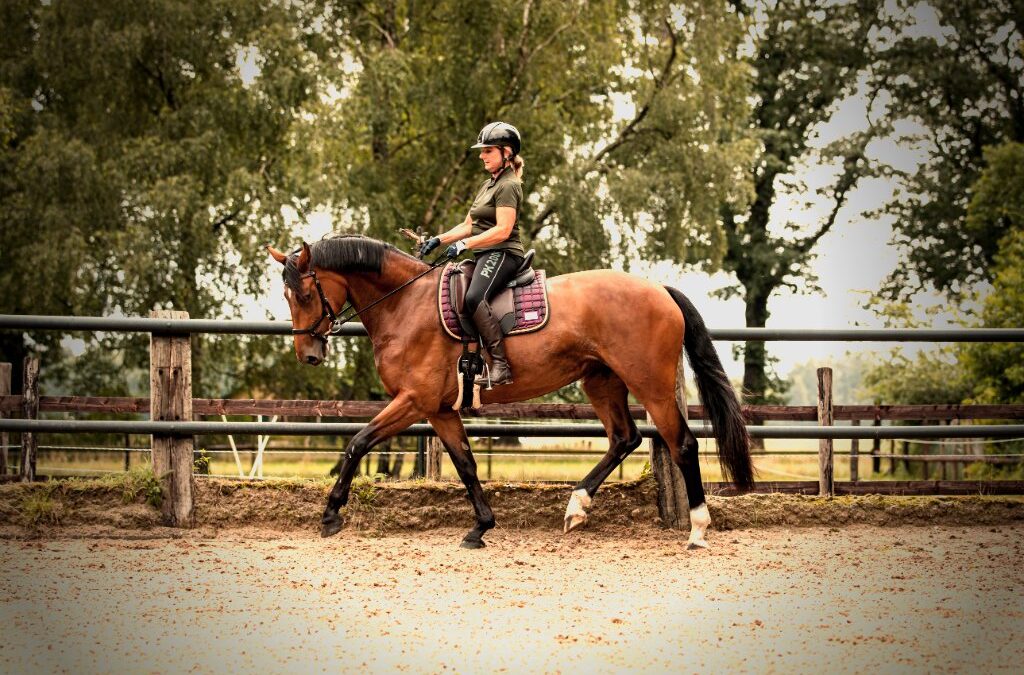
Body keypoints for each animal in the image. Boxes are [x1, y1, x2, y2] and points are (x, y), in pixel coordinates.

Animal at [268, 234, 753, 549]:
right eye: (288, 297)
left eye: (306, 293)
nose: (307, 354)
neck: (405, 304)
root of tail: (659, 290)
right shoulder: (440, 410)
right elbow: (465, 464)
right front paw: (481, 527)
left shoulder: (413, 401)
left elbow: (358, 443)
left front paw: (331, 515)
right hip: (601, 380)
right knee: (624, 438)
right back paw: (576, 506)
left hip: (649, 382)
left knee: (682, 444)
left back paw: (697, 528)